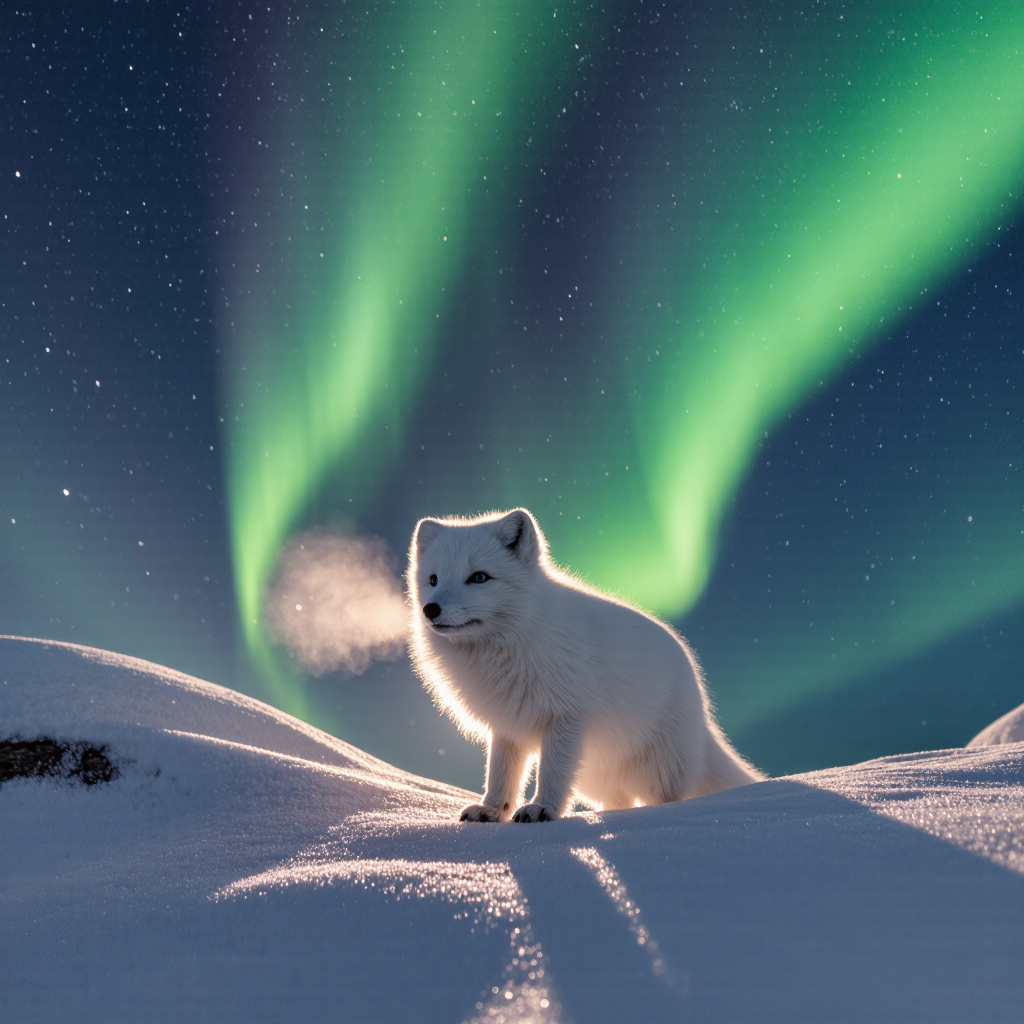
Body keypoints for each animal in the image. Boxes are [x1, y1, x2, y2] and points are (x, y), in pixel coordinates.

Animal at [407, 508, 764, 823]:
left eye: (479, 577)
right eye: (433, 579)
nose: (430, 609)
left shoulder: (566, 716)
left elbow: (551, 773)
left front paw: (542, 810)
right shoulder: (508, 725)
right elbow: (499, 775)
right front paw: (492, 811)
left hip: (658, 769)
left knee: (664, 799)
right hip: (598, 774)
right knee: (619, 802)